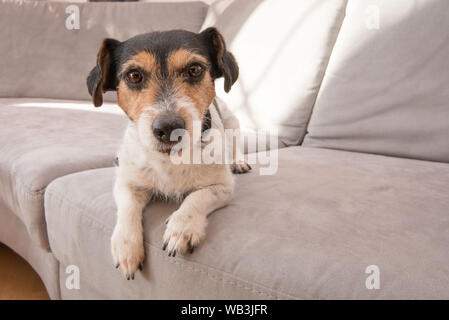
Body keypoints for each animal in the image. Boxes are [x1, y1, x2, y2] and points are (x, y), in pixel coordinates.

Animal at [86, 27, 250, 278]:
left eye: (195, 69)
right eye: (134, 75)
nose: (169, 128)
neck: (171, 159)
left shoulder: (223, 187)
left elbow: (196, 197)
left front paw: (182, 227)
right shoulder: (127, 184)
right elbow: (128, 208)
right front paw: (126, 246)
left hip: (232, 123)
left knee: (236, 145)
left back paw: (239, 162)